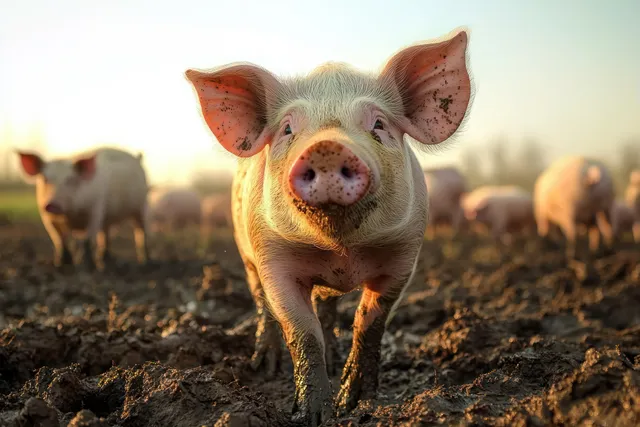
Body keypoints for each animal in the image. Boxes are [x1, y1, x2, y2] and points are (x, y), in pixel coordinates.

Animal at [15, 147, 150, 269]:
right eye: (45, 179)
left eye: (71, 180)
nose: (52, 204)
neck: (70, 216)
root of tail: (137, 158)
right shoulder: (46, 217)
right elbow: (59, 239)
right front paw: (61, 264)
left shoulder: (96, 210)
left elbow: (88, 240)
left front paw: (87, 266)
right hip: (108, 218)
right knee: (105, 235)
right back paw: (106, 260)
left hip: (142, 205)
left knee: (141, 232)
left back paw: (145, 262)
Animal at [185, 28, 472, 425]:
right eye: (288, 128)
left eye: (378, 124)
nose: (326, 147)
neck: (341, 250)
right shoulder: (273, 258)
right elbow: (302, 332)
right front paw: (311, 415)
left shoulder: (403, 256)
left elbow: (369, 321)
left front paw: (354, 403)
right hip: (245, 255)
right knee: (262, 304)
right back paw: (264, 365)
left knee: (328, 306)